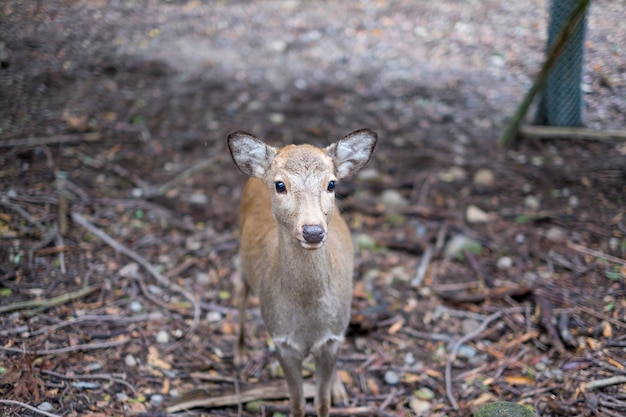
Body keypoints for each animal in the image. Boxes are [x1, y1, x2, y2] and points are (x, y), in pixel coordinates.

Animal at [227, 128, 376, 414]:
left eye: (331, 184)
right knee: (239, 289)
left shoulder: (334, 337)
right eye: (280, 185)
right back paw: (239, 355)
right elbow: (296, 402)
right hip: (240, 251)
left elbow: (322, 402)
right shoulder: (281, 340)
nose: (313, 231)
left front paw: (333, 392)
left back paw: (339, 389)